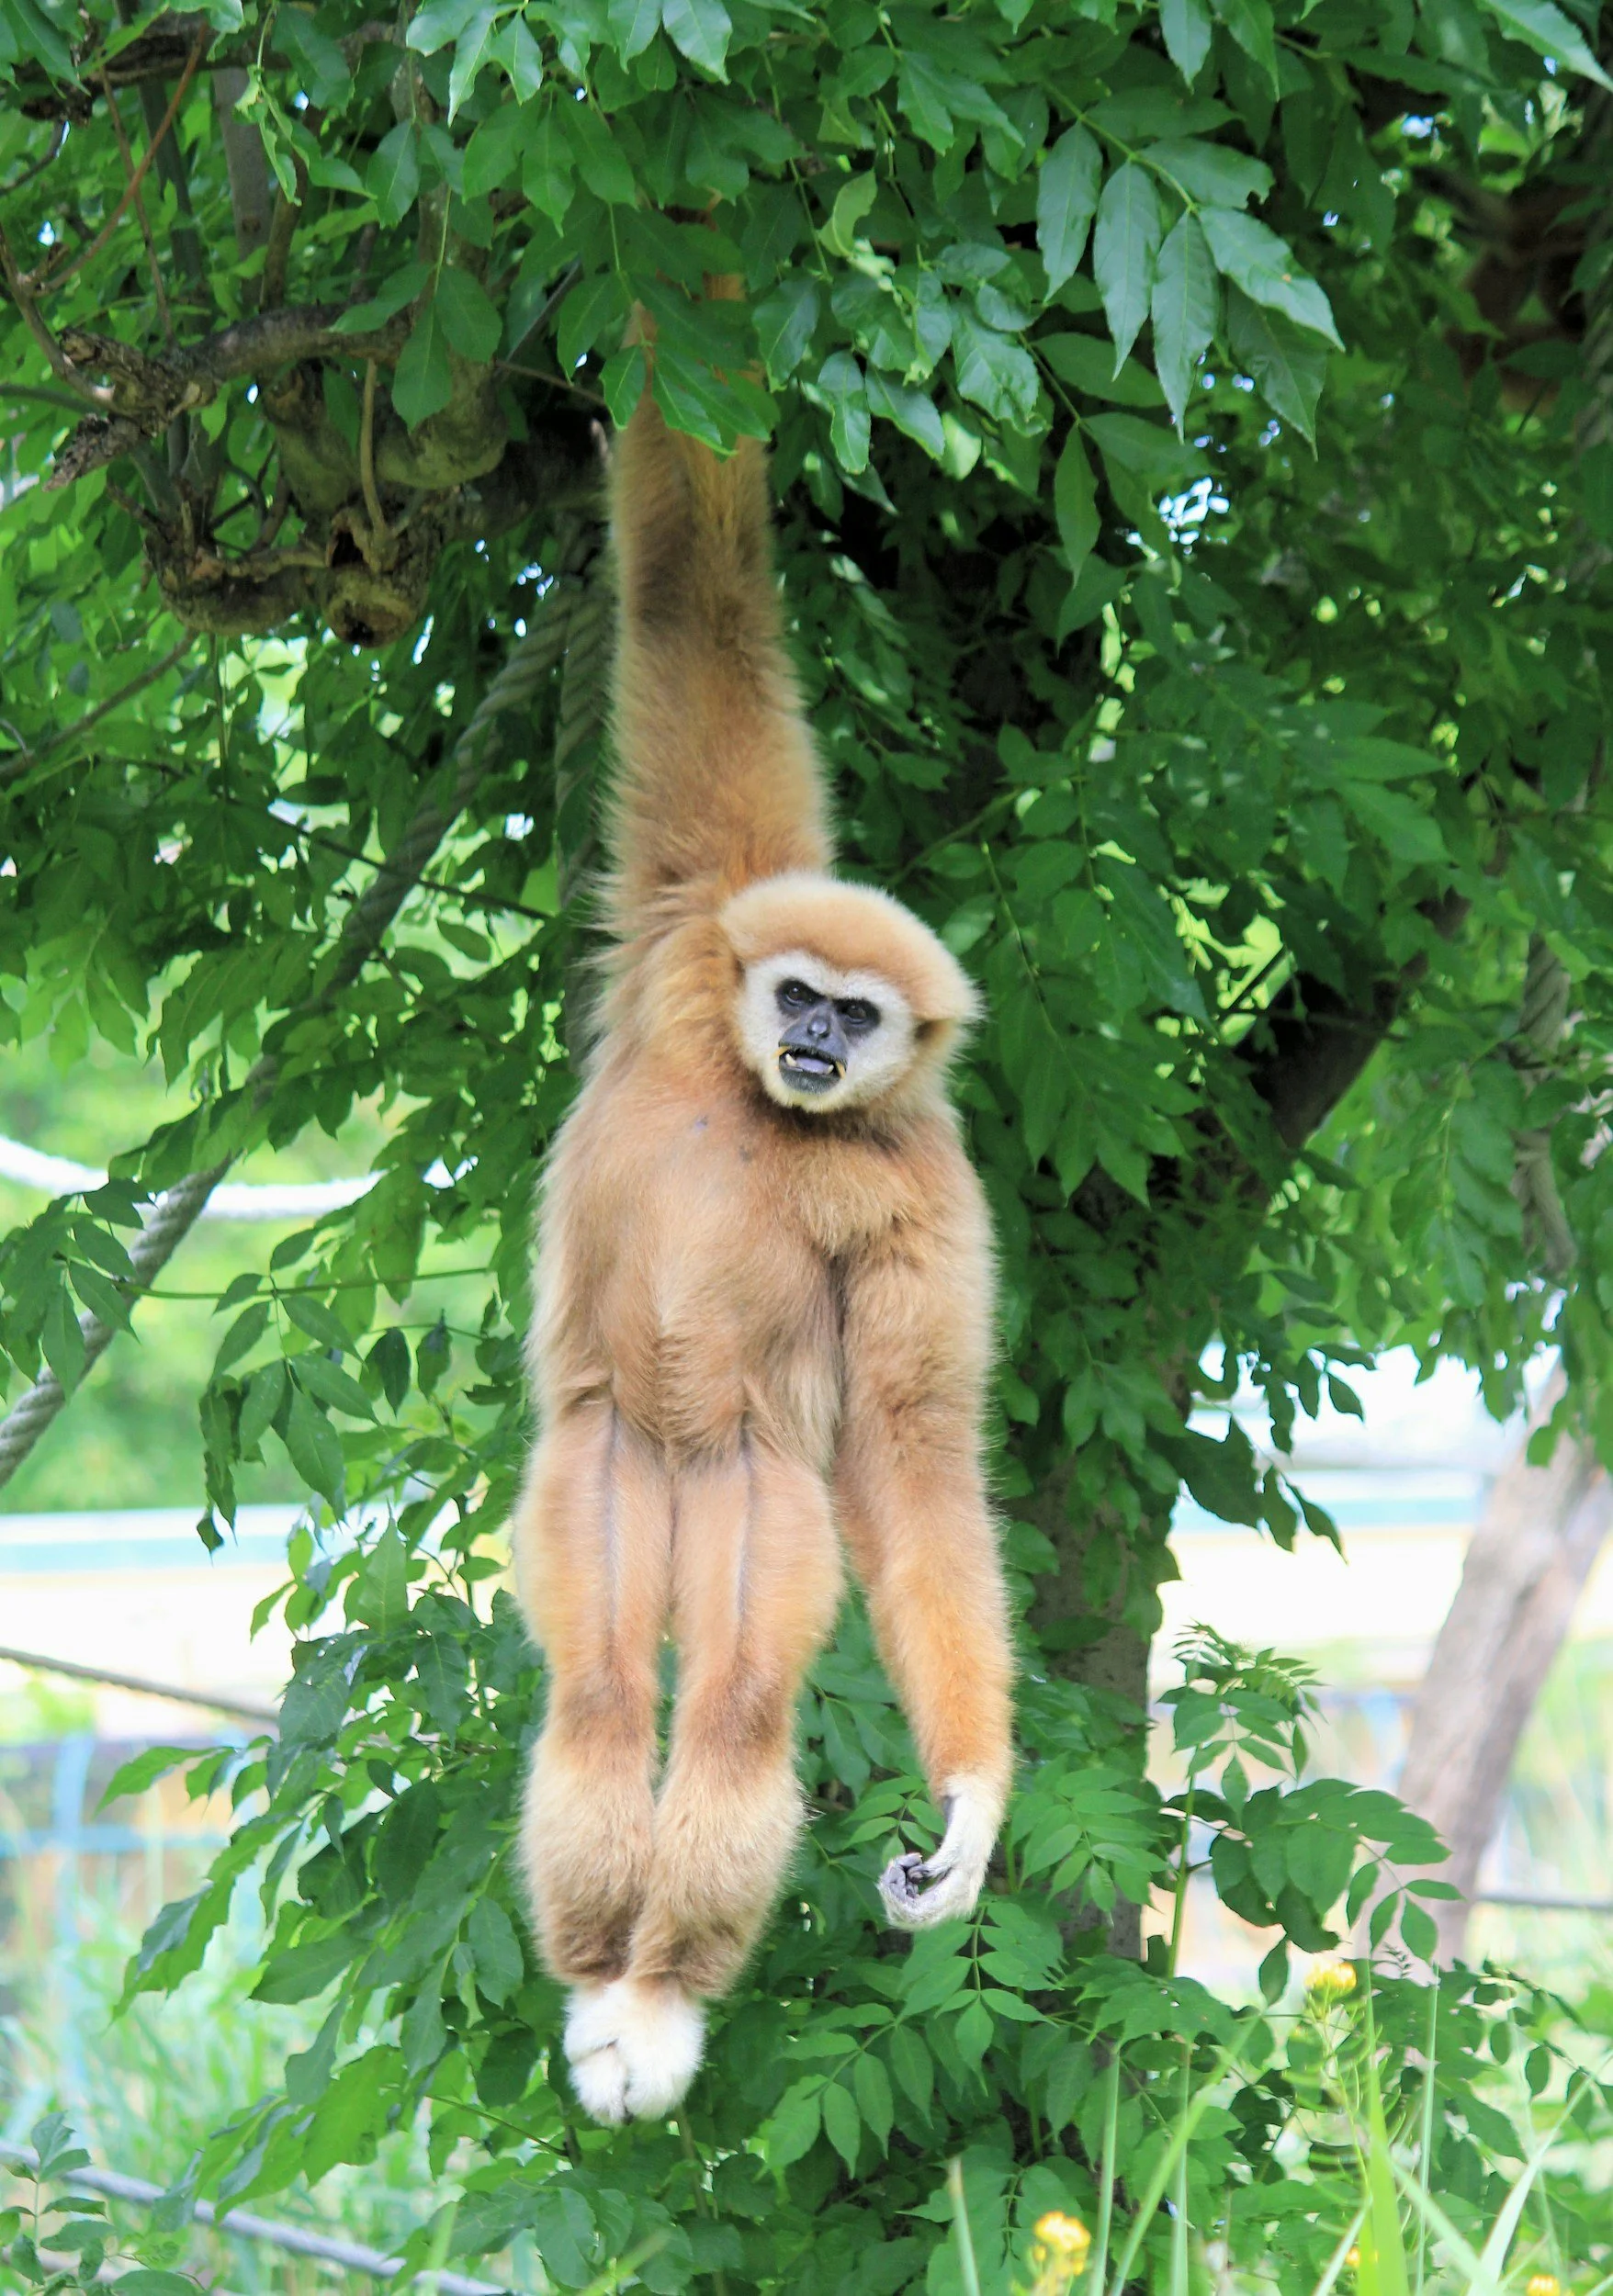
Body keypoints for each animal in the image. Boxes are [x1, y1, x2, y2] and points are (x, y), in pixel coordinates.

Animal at [511, 330, 1014, 2127]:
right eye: (797, 993)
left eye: (855, 1021)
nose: (808, 1044)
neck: (765, 1105)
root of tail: (672, 1470)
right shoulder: (695, 920)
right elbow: (692, 599)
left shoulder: (934, 1191)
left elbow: (912, 1440)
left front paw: (974, 1802)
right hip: (596, 1470)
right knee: (600, 1698)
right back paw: (609, 1971)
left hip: (751, 1498)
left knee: (728, 1707)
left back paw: (654, 1995)